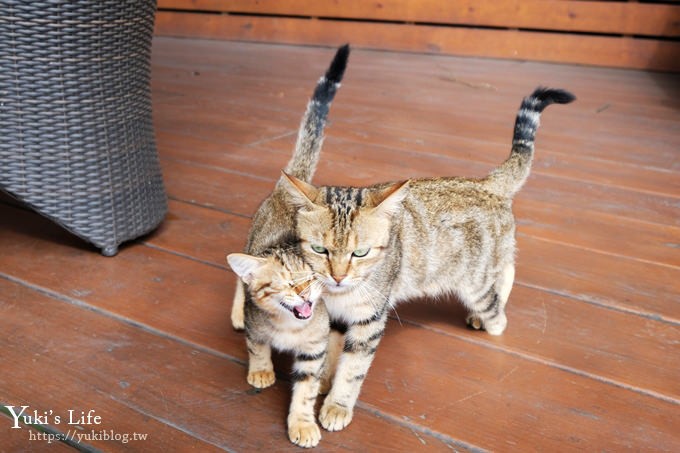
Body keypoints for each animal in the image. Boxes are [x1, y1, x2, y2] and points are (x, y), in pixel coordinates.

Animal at [227, 44, 350, 446]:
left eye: (310, 277)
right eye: (282, 283)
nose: (303, 294)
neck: (289, 330)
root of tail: (289, 182)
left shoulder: (313, 350)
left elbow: (306, 390)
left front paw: (302, 423)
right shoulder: (257, 329)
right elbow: (257, 346)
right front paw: (261, 370)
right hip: (251, 236)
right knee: (239, 277)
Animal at [280, 86, 572, 430]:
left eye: (360, 252)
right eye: (320, 250)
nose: (338, 276)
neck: (340, 296)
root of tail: (486, 183)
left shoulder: (369, 319)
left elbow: (353, 369)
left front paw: (337, 405)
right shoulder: (333, 315)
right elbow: (329, 351)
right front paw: (323, 380)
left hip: (475, 281)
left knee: (501, 287)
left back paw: (492, 319)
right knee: (508, 265)